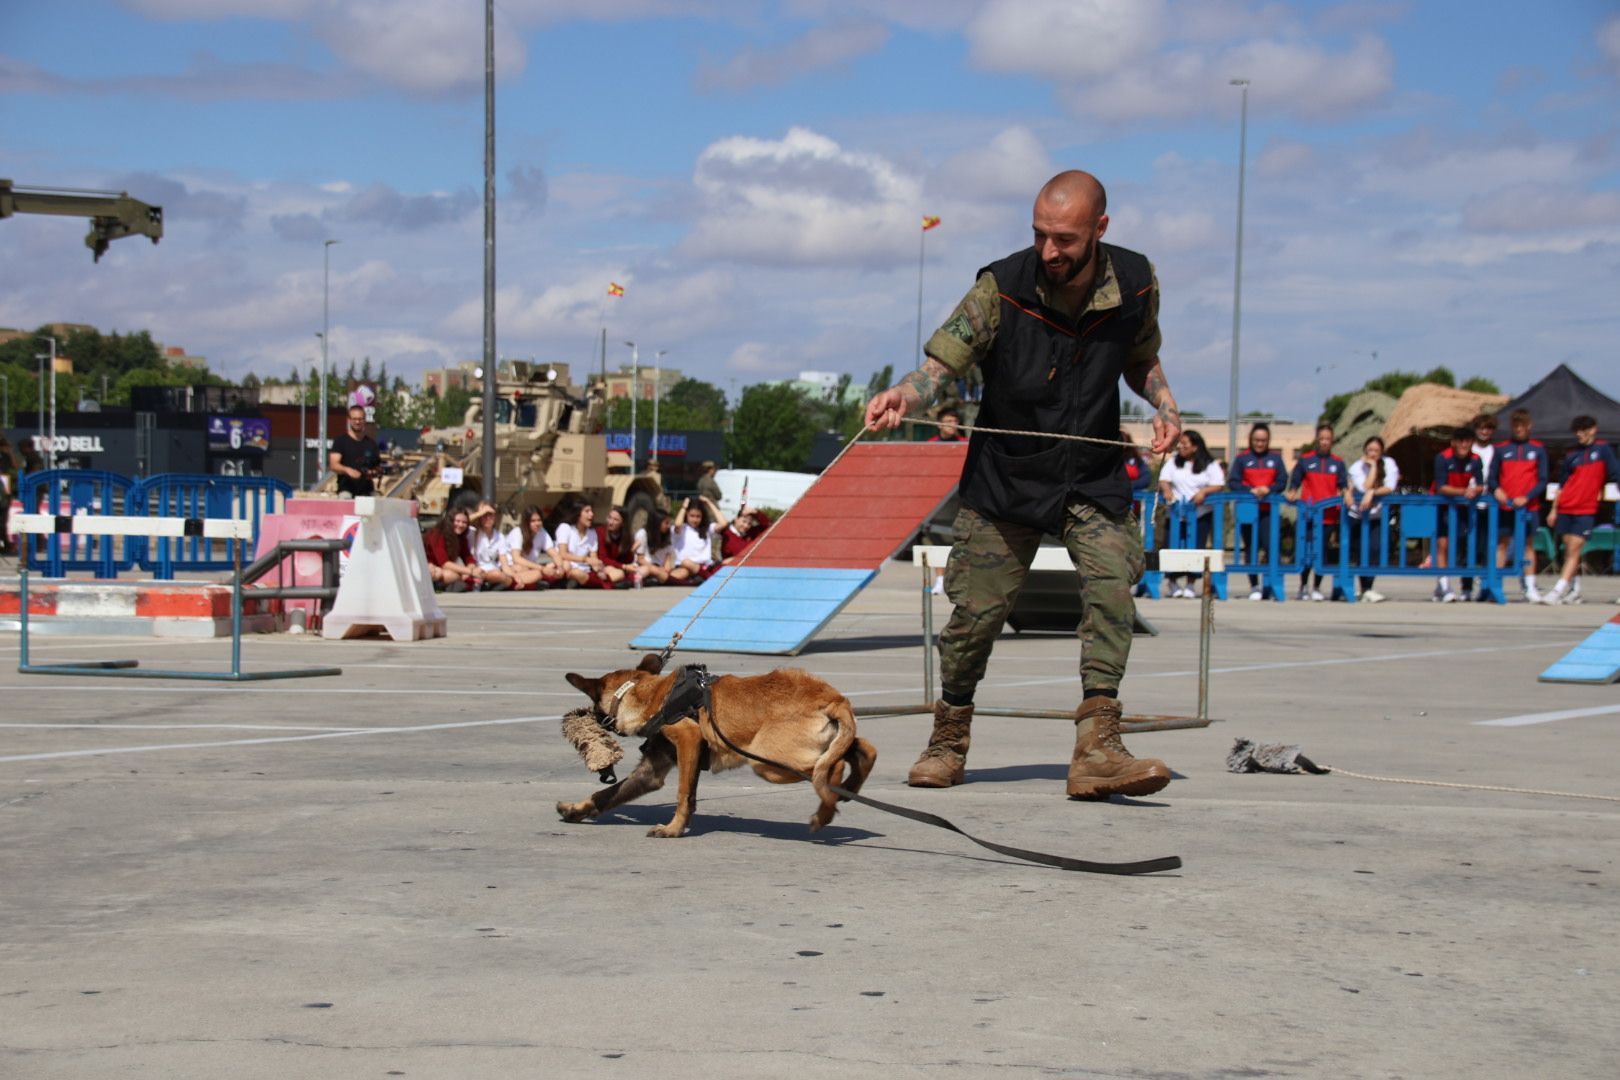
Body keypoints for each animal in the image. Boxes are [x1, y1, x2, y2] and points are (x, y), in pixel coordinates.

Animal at [563, 654, 881, 841]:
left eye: (594, 707)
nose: (588, 718)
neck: (653, 694)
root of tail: (832, 698)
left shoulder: (688, 740)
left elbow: (683, 794)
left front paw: (673, 829)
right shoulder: (652, 771)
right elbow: (607, 795)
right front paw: (575, 810)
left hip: (767, 761)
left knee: (829, 768)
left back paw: (825, 810)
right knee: (861, 750)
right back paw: (850, 786)